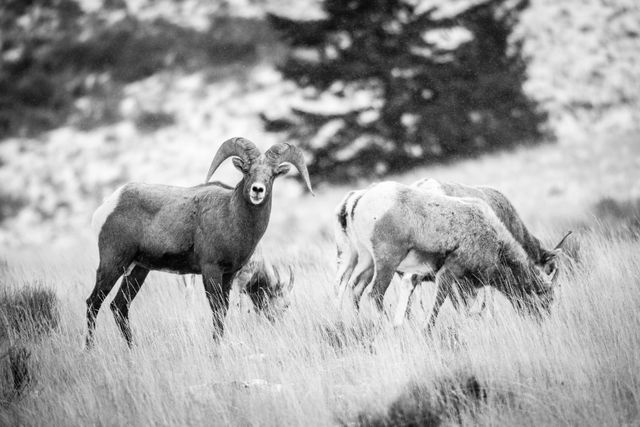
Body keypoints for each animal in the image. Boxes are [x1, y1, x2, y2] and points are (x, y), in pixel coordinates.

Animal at [87, 137, 312, 348]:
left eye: (272, 174)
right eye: (247, 171)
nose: (258, 190)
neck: (230, 217)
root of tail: (109, 204)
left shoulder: (229, 275)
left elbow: (224, 310)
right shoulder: (212, 271)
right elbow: (218, 310)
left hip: (138, 270)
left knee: (119, 306)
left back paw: (132, 351)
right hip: (113, 264)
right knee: (93, 303)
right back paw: (89, 351)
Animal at [336, 181, 564, 332]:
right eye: (545, 302)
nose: (543, 323)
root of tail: (357, 200)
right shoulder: (450, 273)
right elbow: (440, 305)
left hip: (366, 261)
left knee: (355, 289)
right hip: (387, 263)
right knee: (374, 294)